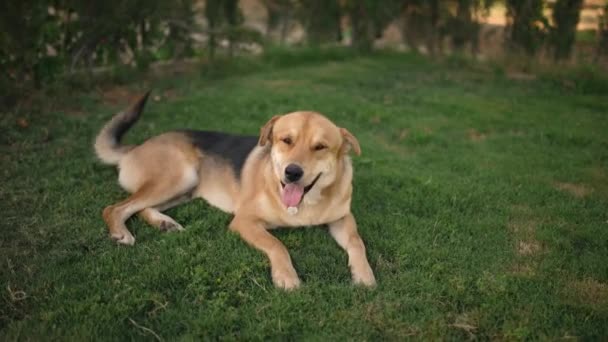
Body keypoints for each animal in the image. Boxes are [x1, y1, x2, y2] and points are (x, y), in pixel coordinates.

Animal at [95, 91, 376, 288]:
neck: (303, 204)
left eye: (320, 147)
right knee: (115, 207)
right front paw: (286, 277)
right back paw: (121, 232)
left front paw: (364, 274)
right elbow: (276, 244)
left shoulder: (343, 218)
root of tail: (137, 147)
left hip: (186, 187)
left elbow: (357, 242)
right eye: (286, 140)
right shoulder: (244, 222)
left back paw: (165, 223)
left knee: (140, 208)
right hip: (178, 176)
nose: (292, 172)